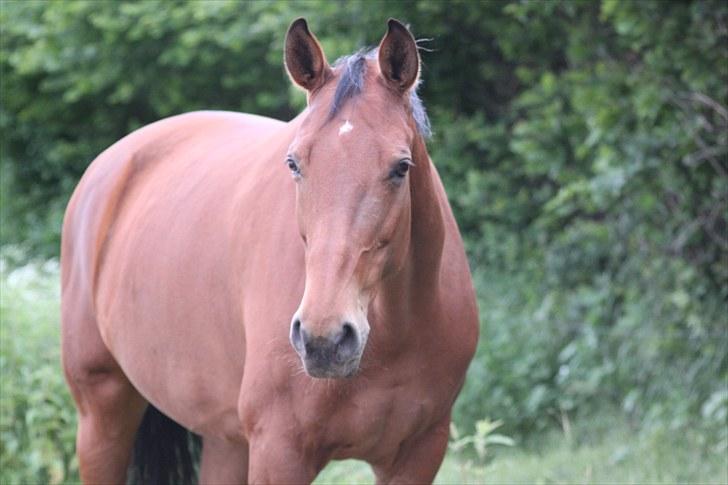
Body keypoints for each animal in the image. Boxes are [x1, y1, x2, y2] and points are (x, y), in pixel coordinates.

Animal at [61, 17, 478, 482]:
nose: (323, 338)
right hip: (102, 412)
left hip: (225, 440)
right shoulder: (280, 450)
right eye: (294, 163)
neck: (395, 333)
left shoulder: (419, 454)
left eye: (401, 167)